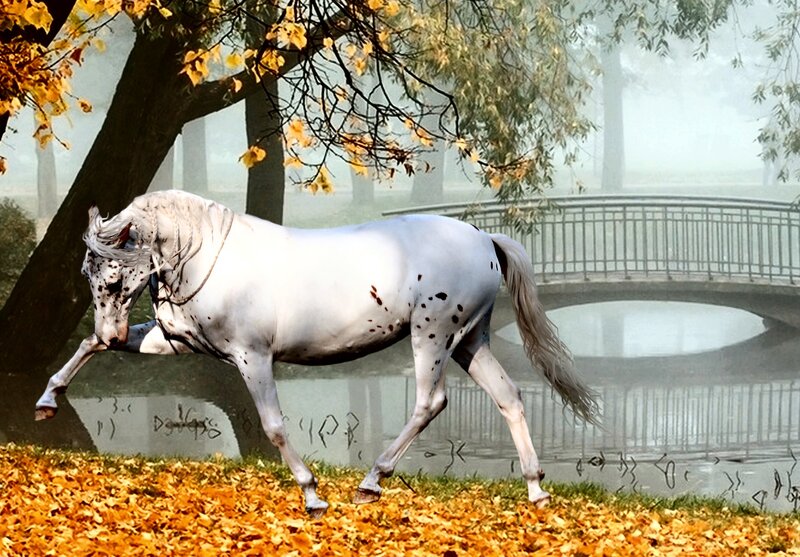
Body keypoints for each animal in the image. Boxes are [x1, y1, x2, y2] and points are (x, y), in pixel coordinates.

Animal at [35, 190, 599, 517]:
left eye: (113, 279)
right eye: (87, 275)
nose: (113, 333)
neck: (207, 256)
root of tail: (484, 238)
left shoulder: (253, 358)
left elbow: (274, 427)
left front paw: (311, 494)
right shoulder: (175, 340)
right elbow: (85, 346)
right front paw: (47, 401)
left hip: (433, 335)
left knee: (430, 402)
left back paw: (371, 482)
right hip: (470, 341)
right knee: (509, 397)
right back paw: (536, 489)